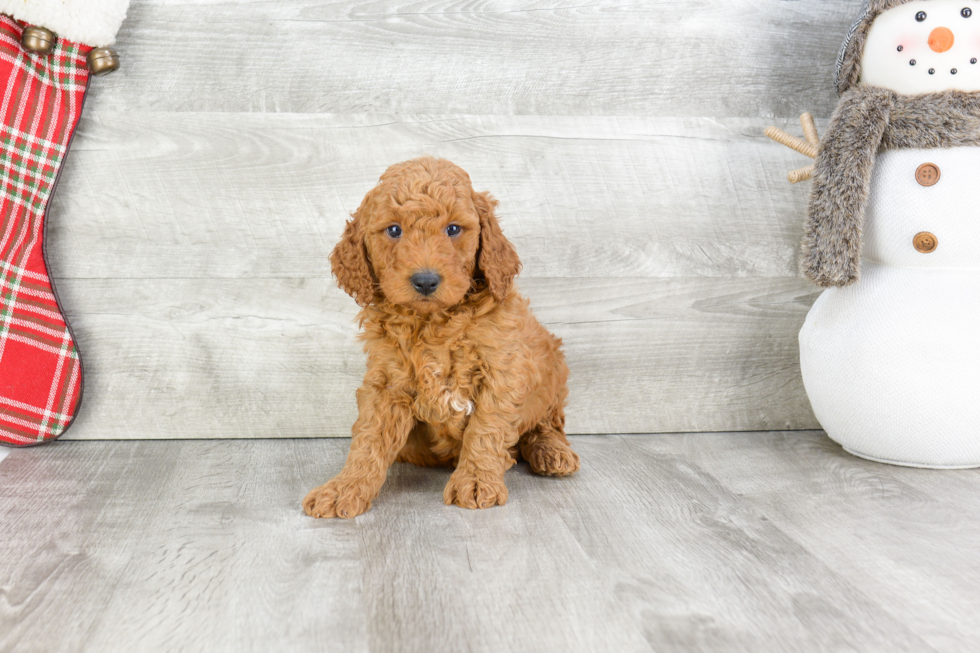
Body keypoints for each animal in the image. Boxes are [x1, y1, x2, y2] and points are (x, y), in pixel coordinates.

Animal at [306, 155, 580, 516]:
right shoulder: (386, 381)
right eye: (394, 230)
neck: (432, 321)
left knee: (547, 423)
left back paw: (551, 451)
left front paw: (476, 482)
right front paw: (344, 487)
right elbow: (368, 439)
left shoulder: (503, 372)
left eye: (453, 229)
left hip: (553, 368)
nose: (425, 281)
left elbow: (485, 430)